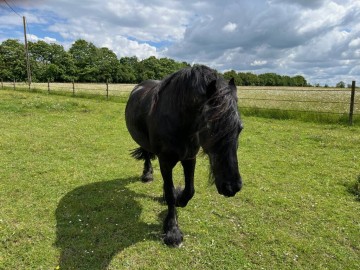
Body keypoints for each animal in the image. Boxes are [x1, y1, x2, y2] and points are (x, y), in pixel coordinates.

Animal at [125, 65, 243, 247]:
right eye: (211, 129)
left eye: (240, 128)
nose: (232, 187)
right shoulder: (165, 161)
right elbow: (170, 192)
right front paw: (172, 230)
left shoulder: (189, 158)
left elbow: (189, 190)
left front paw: (179, 199)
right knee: (146, 154)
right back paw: (147, 174)